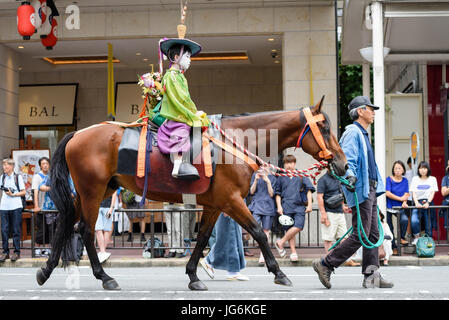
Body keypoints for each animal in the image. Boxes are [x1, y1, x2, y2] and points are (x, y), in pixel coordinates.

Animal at [36, 97, 348, 290]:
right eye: (325, 127)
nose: (343, 163)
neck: (235, 143)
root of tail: (77, 134)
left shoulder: (215, 204)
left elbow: (202, 239)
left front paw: (193, 275)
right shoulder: (232, 200)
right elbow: (259, 232)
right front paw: (279, 273)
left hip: (96, 189)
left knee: (67, 222)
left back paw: (46, 270)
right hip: (93, 190)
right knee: (86, 229)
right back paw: (104, 277)